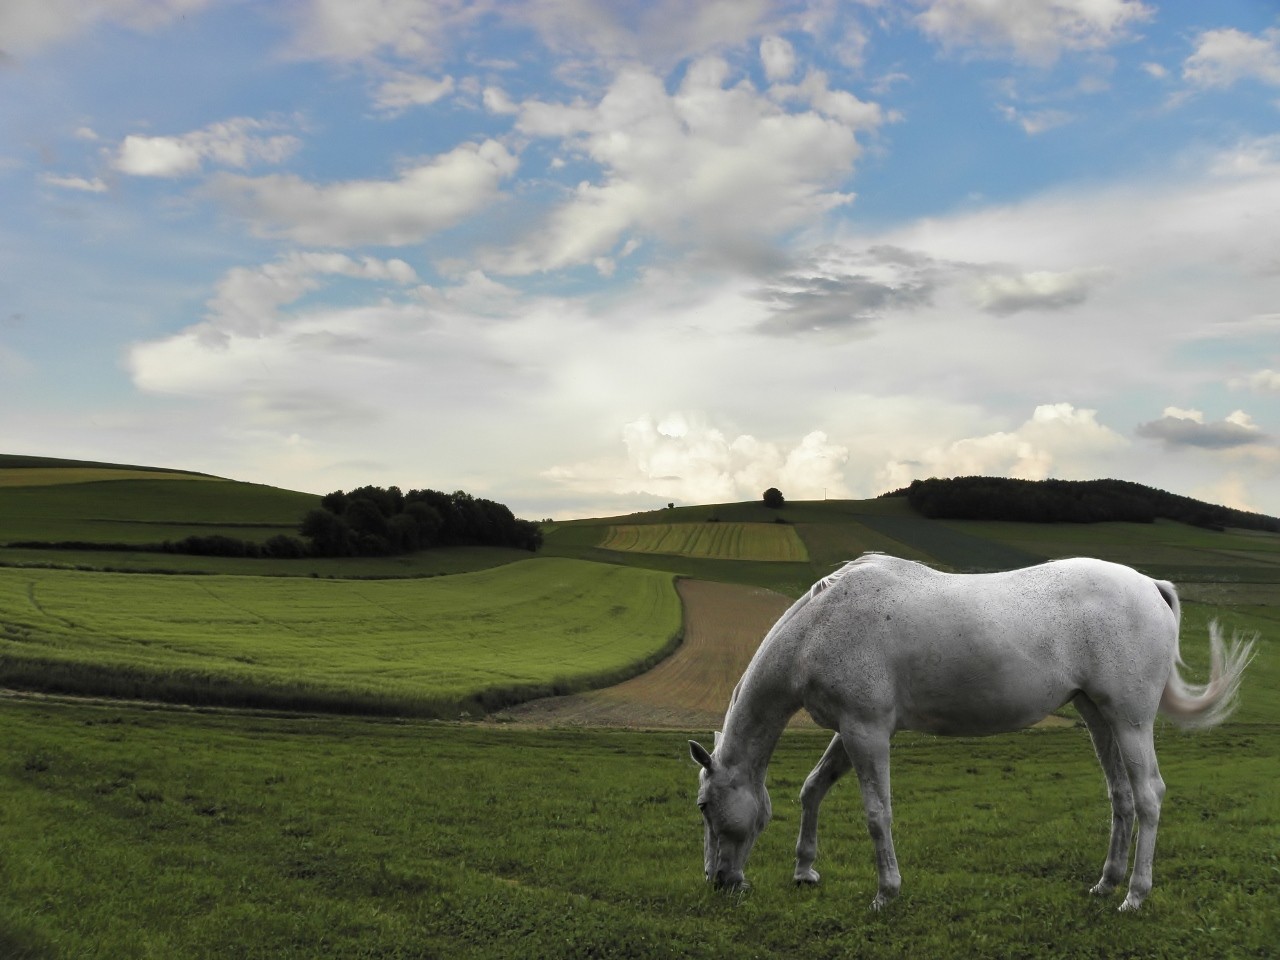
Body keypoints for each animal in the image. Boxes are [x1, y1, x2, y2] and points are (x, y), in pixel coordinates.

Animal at [696, 552, 1254, 911]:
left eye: (704, 806)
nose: (718, 881)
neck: (818, 628)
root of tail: (1149, 585)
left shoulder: (866, 731)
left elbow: (877, 813)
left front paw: (886, 892)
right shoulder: (851, 730)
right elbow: (813, 789)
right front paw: (805, 870)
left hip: (1130, 720)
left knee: (1148, 795)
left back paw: (1135, 895)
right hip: (1100, 718)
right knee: (1121, 797)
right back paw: (1106, 884)